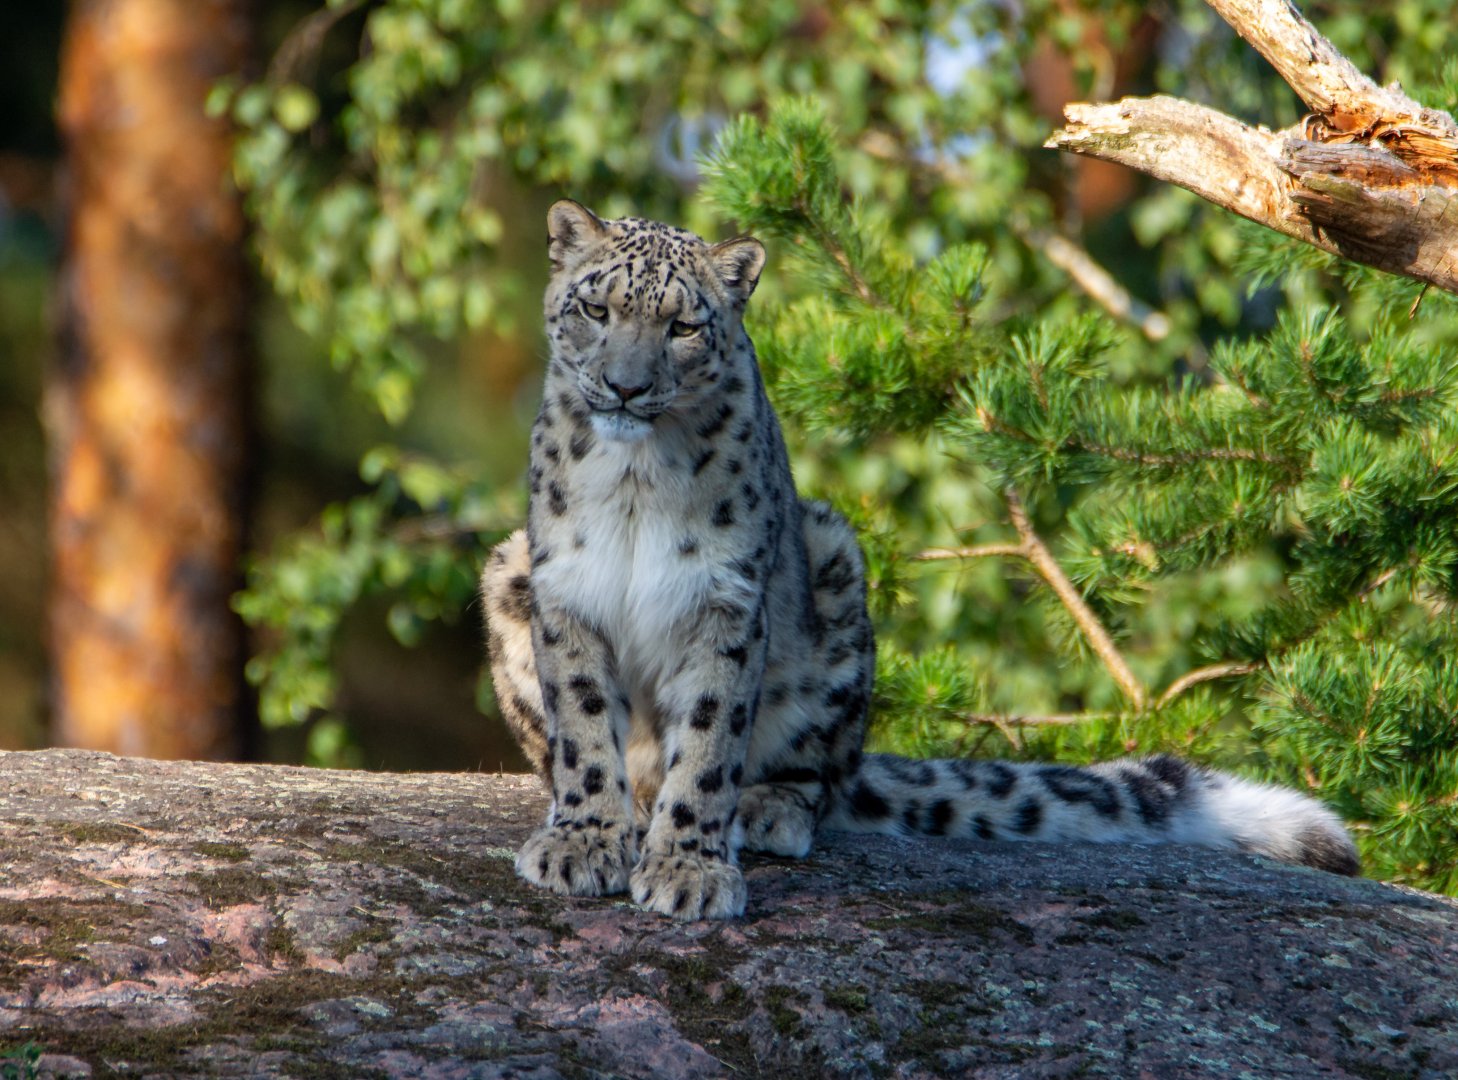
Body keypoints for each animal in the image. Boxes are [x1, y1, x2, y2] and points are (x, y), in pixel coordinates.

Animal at [481, 200, 1359, 920]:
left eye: (683, 327)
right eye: (596, 307)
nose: (626, 387)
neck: (635, 479)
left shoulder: (723, 600)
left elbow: (706, 738)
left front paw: (689, 868)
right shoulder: (566, 591)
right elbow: (583, 730)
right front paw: (584, 842)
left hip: (836, 562)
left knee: (818, 773)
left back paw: (767, 809)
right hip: (508, 571)